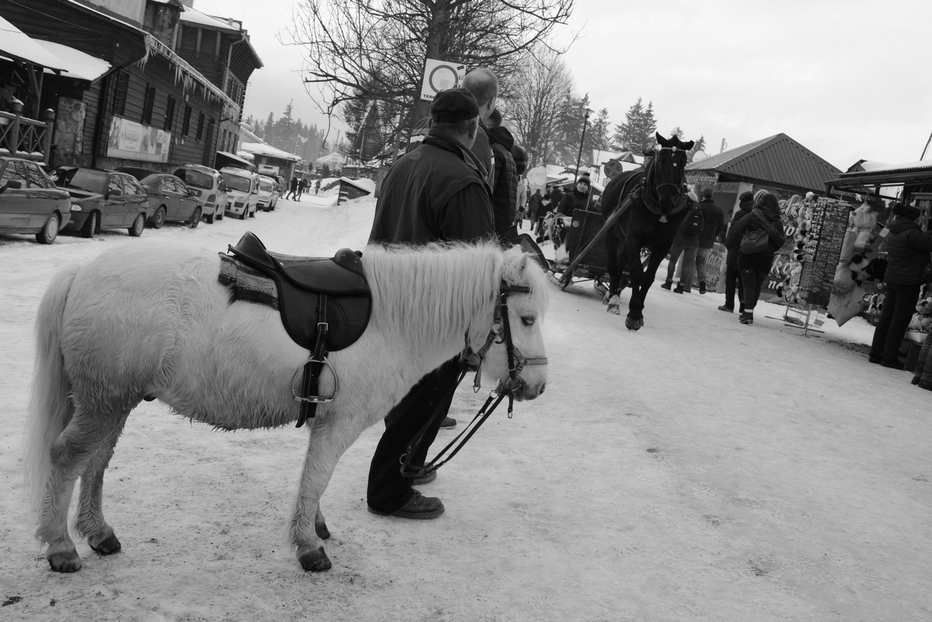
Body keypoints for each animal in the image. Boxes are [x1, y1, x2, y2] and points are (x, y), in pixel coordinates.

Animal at [23, 240, 548, 576]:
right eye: (526, 319)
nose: (538, 386)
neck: (392, 319)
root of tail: (83, 271)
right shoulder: (339, 424)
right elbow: (317, 477)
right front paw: (309, 547)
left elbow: (312, 481)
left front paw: (313, 525)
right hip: (104, 399)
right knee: (68, 458)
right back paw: (61, 546)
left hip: (113, 398)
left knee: (96, 462)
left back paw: (98, 533)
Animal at [600, 132, 696, 332]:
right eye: (660, 161)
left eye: (683, 162)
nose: (667, 201)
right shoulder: (634, 239)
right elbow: (636, 273)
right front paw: (633, 315)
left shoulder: (662, 245)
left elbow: (648, 278)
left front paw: (638, 312)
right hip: (612, 232)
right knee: (613, 265)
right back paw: (613, 299)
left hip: (624, 240)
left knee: (620, 264)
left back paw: (615, 294)